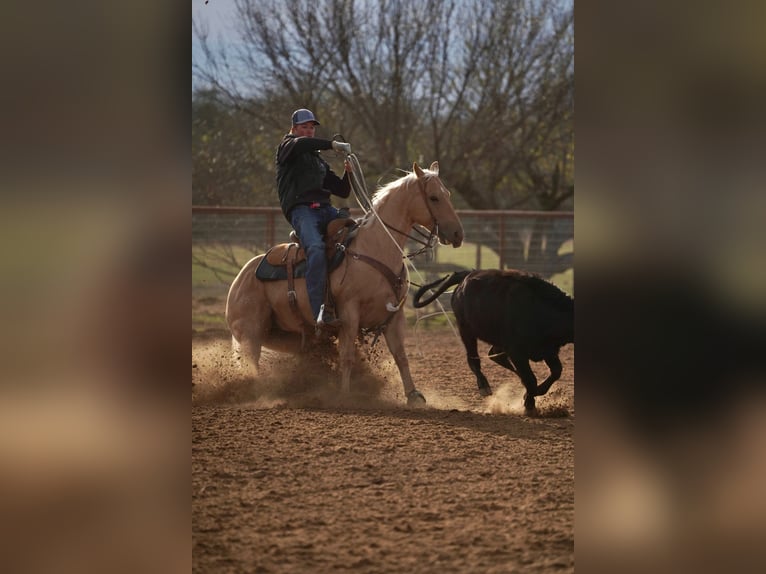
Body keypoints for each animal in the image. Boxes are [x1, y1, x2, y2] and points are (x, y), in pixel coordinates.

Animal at [225, 161, 464, 405]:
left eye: (447, 194)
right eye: (434, 197)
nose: (458, 234)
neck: (375, 248)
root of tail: (241, 277)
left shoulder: (394, 316)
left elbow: (400, 356)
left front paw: (413, 395)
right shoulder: (349, 312)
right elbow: (348, 355)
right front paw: (346, 395)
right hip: (250, 332)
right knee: (251, 363)